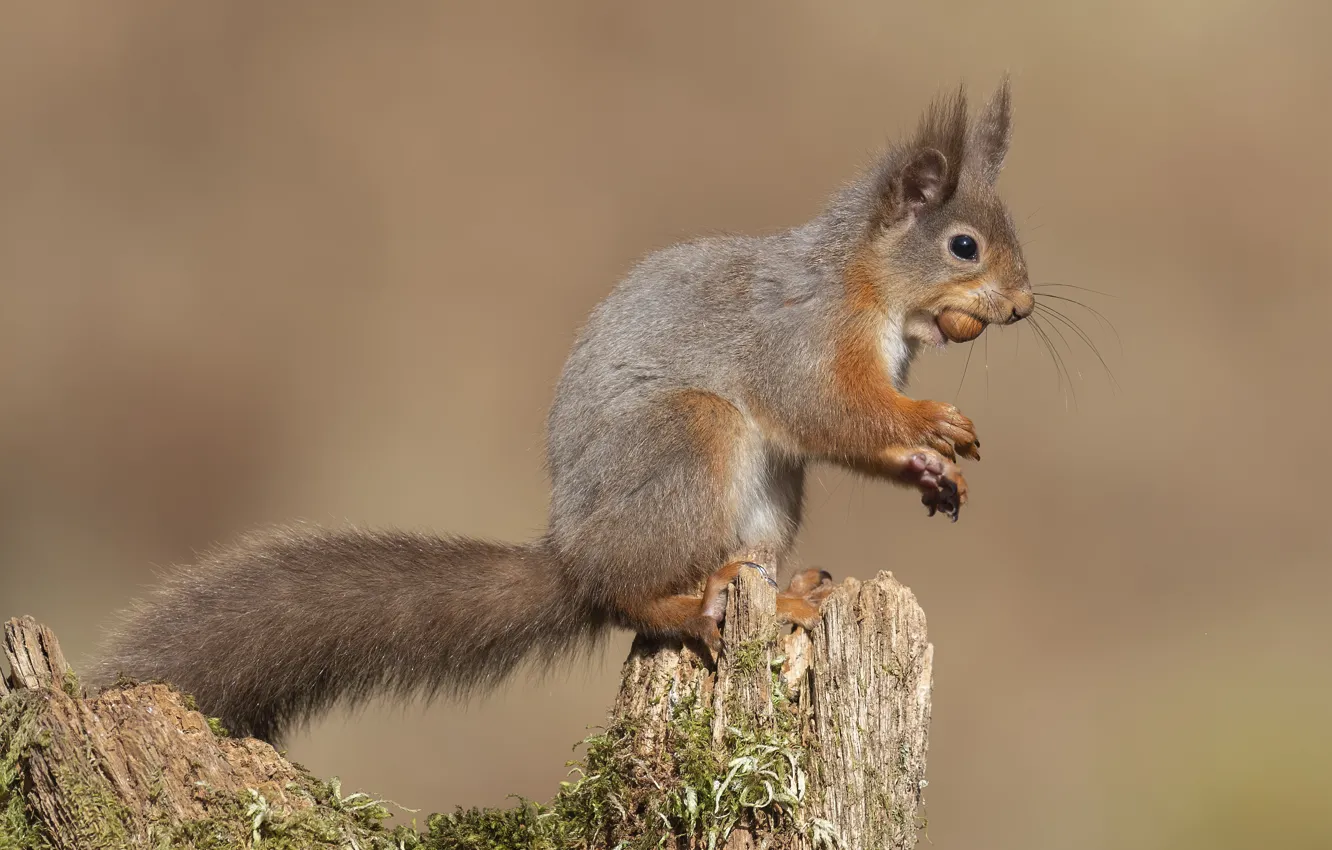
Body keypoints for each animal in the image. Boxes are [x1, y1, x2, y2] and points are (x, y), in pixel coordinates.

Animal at [93, 79, 1034, 743]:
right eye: (963, 247)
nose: (1024, 307)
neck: (867, 288)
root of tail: (573, 556)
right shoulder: (801, 337)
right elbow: (832, 411)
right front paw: (931, 425)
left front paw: (932, 471)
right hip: (690, 438)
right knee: (631, 599)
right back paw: (694, 604)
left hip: (765, 500)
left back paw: (791, 596)